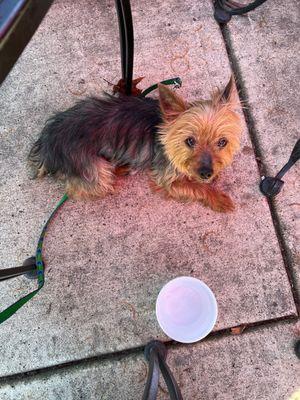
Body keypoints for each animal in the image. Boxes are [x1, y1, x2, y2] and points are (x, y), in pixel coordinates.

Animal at [28, 76, 241, 212]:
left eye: (222, 142)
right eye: (189, 141)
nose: (206, 173)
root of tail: (46, 143)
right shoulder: (166, 179)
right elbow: (196, 188)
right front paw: (218, 198)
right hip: (93, 170)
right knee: (79, 188)